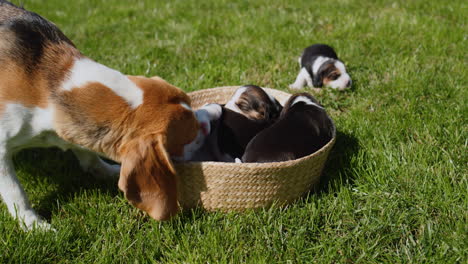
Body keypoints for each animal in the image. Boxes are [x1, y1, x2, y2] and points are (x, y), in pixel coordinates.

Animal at [0, 0, 208, 229]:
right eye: (191, 135)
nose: (206, 121)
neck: (49, 86)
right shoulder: (1, 148)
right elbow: (16, 192)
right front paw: (32, 223)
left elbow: (89, 156)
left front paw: (107, 171)